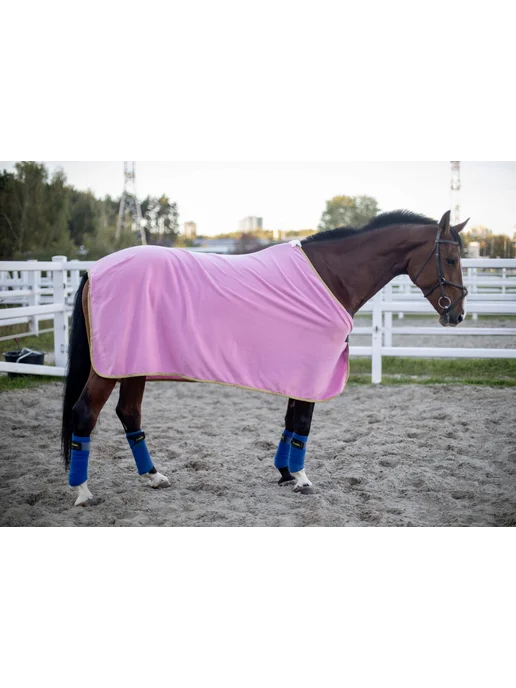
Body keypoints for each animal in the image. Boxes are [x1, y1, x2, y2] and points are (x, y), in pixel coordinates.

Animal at [61, 209, 468, 506]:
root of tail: (94, 270)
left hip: (134, 364)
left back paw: (153, 476)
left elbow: (290, 421)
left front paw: (285, 473)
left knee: (129, 413)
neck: (330, 277)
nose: (458, 315)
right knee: (85, 414)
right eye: (450, 258)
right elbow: (302, 422)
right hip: (109, 368)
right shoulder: (312, 368)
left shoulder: (298, 371)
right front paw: (302, 479)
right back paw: (83, 492)